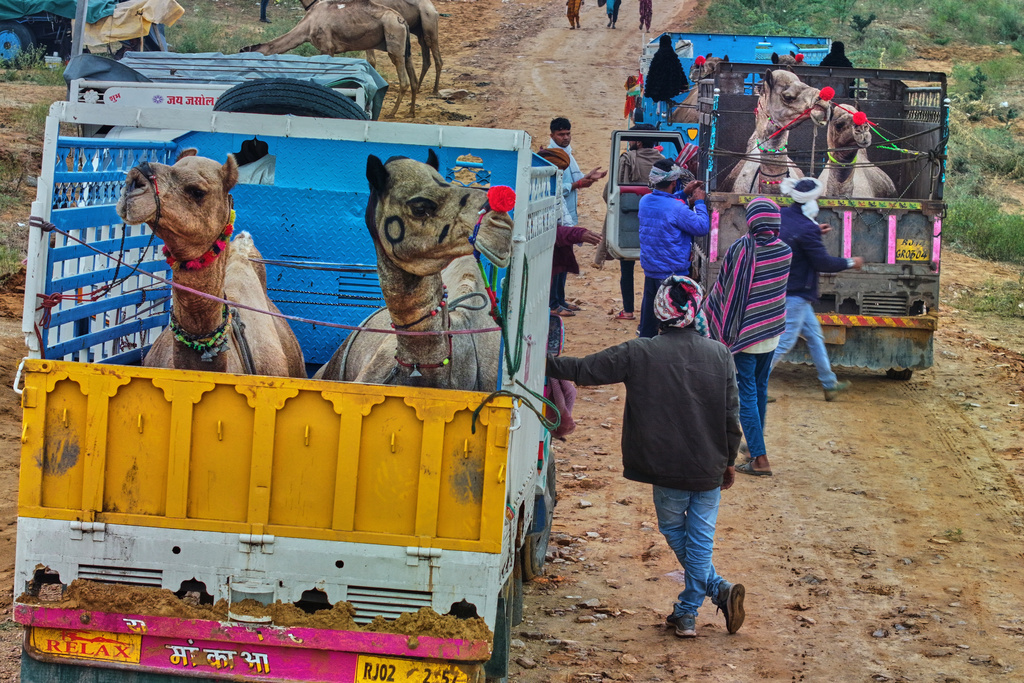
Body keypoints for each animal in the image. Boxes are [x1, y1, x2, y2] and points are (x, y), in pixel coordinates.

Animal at [242, 1, 418, 118]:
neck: (307, 25)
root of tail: (402, 20)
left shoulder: (326, 47)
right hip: (405, 46)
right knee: (412, 76)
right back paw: (411, 112)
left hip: (394, 38)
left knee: (403, 79)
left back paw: (392, 114)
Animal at [301, 0, 443, 96]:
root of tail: (433, 8)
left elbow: (371, 61)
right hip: (419, 30)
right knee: (426, 57)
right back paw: (418, 88)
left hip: (428, 20)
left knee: (437, 57)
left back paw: (435, 90)